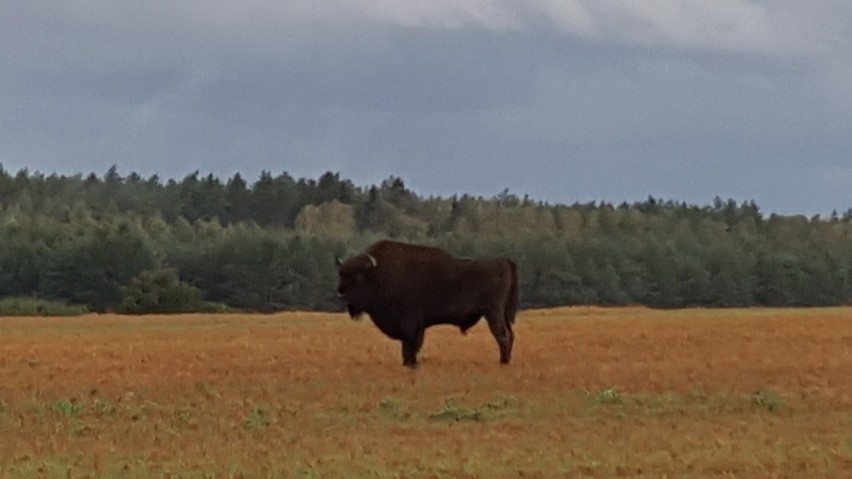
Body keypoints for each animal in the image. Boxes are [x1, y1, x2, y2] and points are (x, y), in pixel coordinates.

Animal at [336, 239, 516, 368]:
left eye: (359, 277)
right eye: (341, 274)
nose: (341, 294)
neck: (378, 274)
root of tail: (504, 261)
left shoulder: (411, 326)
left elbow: (411, 347)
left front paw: (411, 365)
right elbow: (406, 348)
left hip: (493, 313)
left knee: (502, 336)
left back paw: (503, 363)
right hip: (503, 314)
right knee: (510, 334)